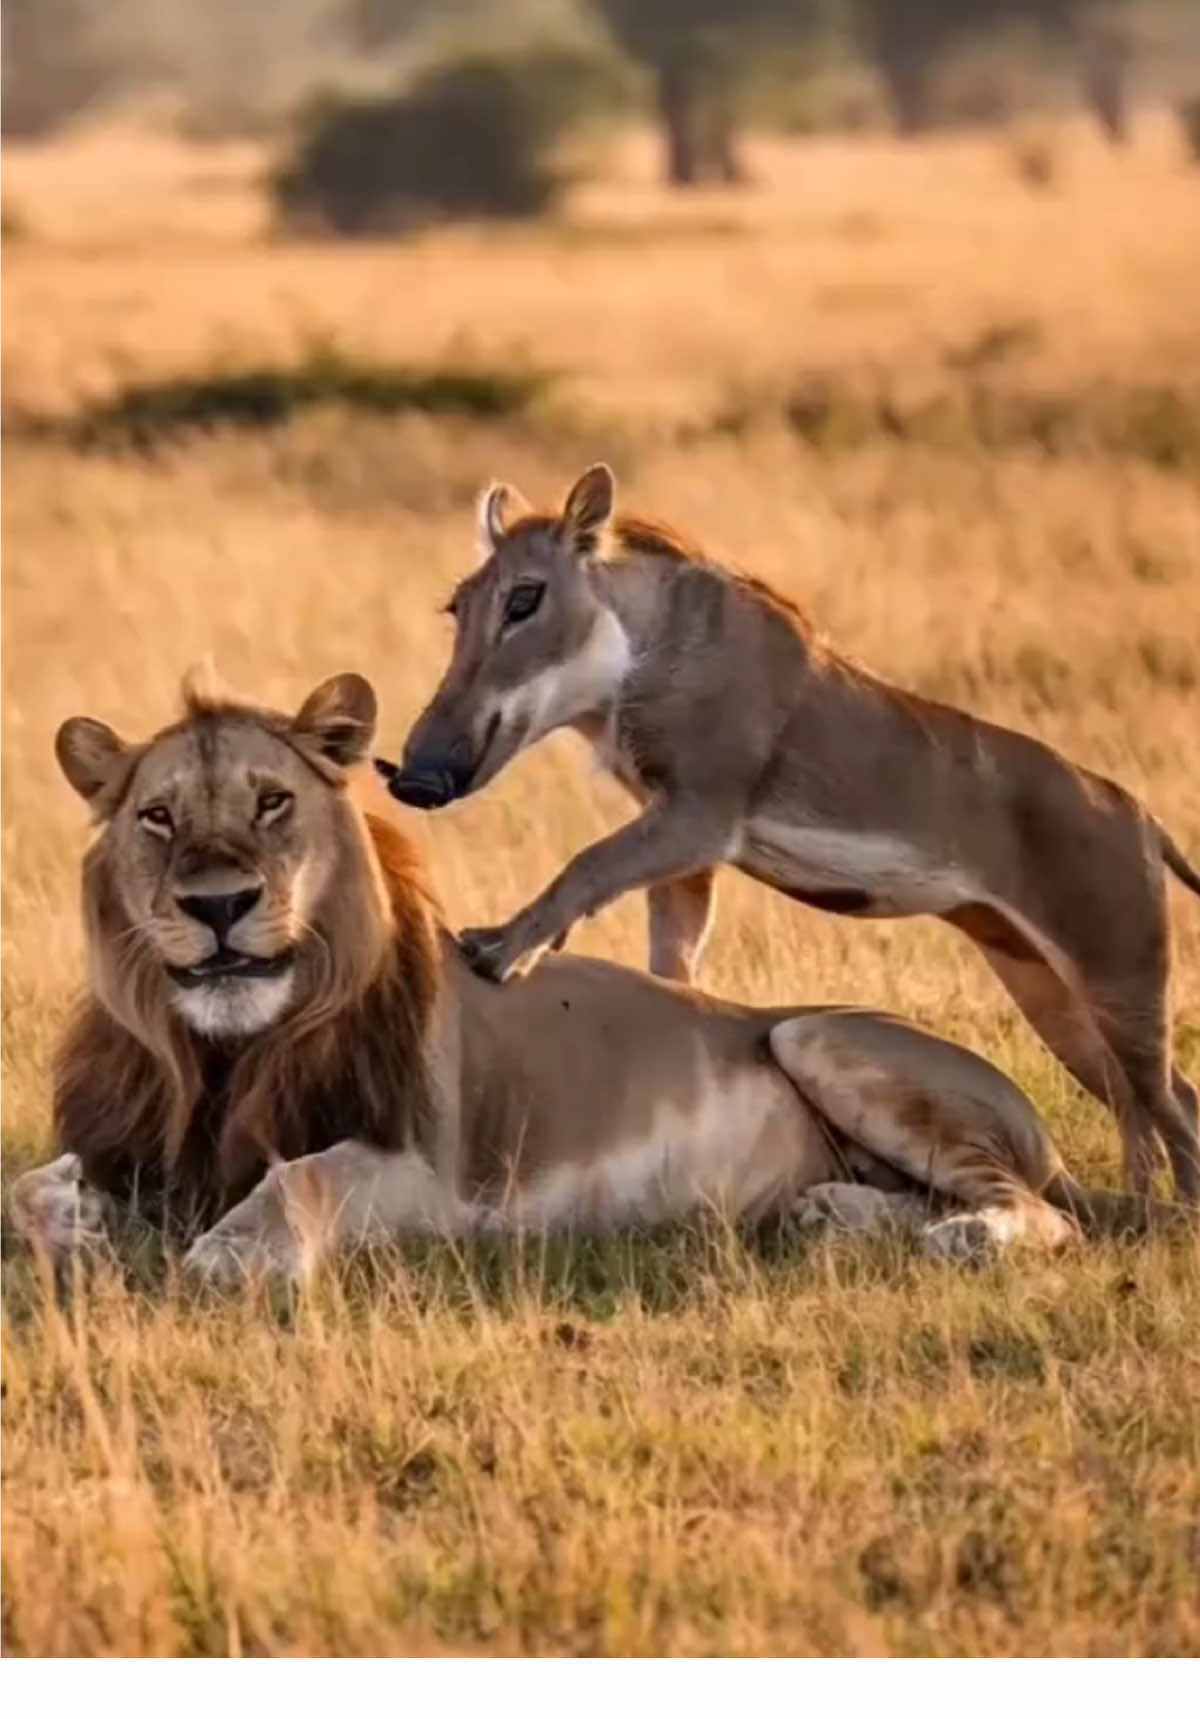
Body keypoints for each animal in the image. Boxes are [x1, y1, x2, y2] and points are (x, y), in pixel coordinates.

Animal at [8, 674, 1175, 1286]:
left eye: (271, 803)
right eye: (159, 817)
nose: (218, 905)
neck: (228, 1050)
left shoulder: (436, 1174)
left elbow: (295, 1181)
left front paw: (215, 1259)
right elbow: (32, 1190)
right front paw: (76, 1223)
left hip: (818, 1037)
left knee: (1036, 1210)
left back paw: (963, 1235)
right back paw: (829, 1213)